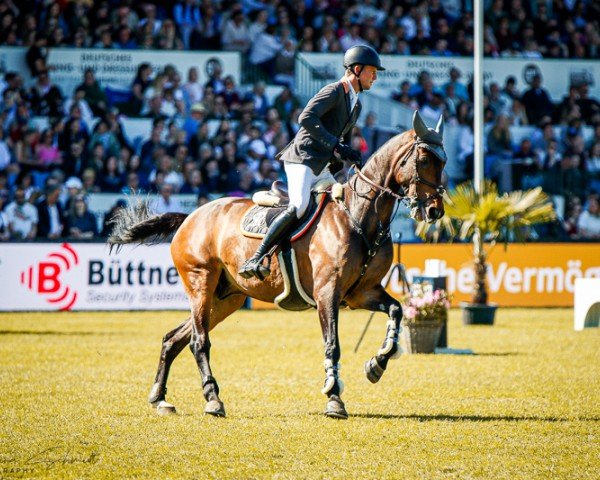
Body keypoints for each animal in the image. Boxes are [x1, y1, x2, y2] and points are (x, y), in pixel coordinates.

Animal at [109, 110, 446, 418]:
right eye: (424, 159)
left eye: (443, 162)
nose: (435, 212)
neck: (358, 216)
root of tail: (191, 216)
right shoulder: (327, 293)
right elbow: (332, 344)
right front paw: (334, 398)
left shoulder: (362, 292)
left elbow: (397, 310)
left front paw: (377, 364)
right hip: (200, 284)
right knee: (198, 342)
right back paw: (213, 400)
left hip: (225, 298)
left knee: (174, 339)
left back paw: (160, 398)